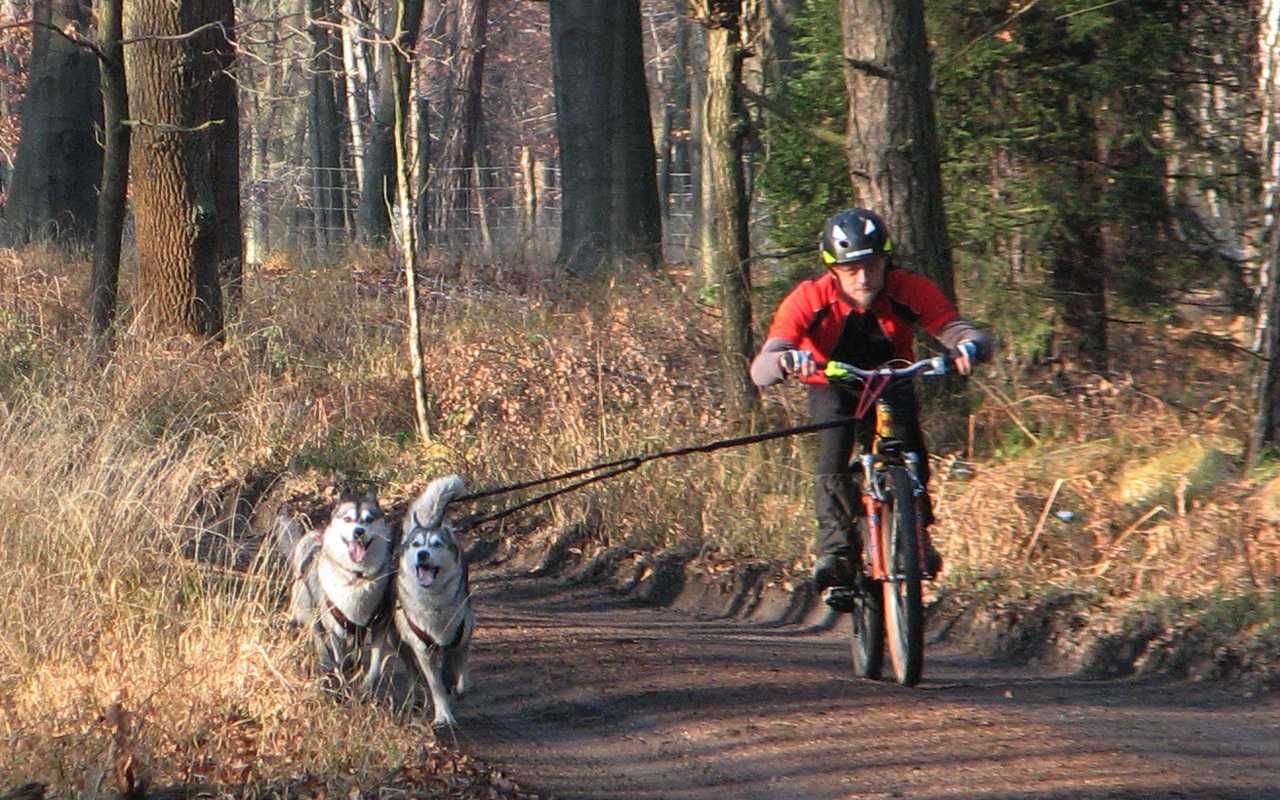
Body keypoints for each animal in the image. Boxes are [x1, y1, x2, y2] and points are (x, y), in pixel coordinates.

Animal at [280, 483, 394, 691]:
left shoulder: (379, 624)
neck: (357, 577)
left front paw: (367, 686)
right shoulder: (335, 630)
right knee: (316, 634)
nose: (359, 532)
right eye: (348, 519)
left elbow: (374, 662)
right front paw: (343, 683)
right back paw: (325, 662)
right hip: (308, 604)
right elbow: (338, 657)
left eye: (369, 519)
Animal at [394, 473, 476, 732]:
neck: (434, 603)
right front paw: (443, 716)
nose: (423, 555)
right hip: (400, 639)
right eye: (417, 545)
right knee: (413, 672)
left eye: (437, 544)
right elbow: (436, 685)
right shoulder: (422, 648)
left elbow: (461, 678)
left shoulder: (462, 639)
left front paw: (456, 686)